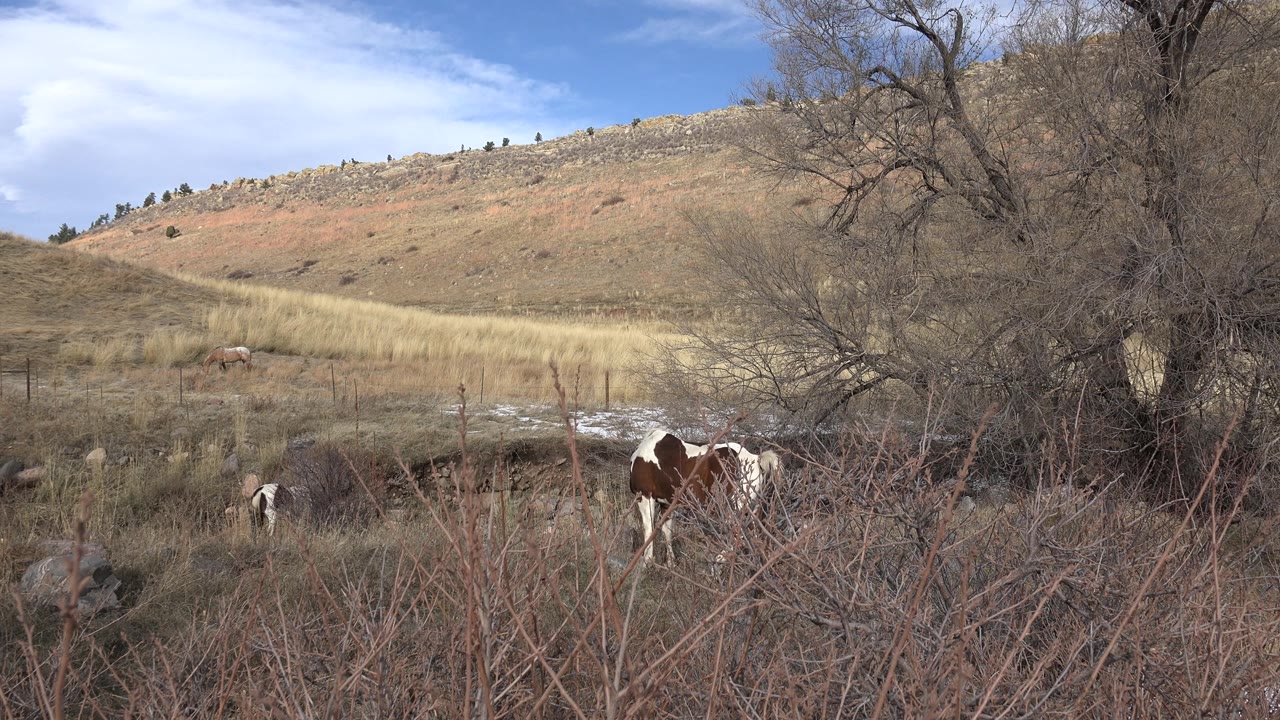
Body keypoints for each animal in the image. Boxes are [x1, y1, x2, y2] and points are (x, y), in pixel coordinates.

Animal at [628, 428, 781, 566]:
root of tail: (756, 459)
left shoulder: (644, 496)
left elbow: (649, 529)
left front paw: (647, 563)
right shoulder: (667, 502)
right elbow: (667, 531)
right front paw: (671, 563)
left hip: (734, 506)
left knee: (737, 533)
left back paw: (719, 560)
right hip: (752, 507)